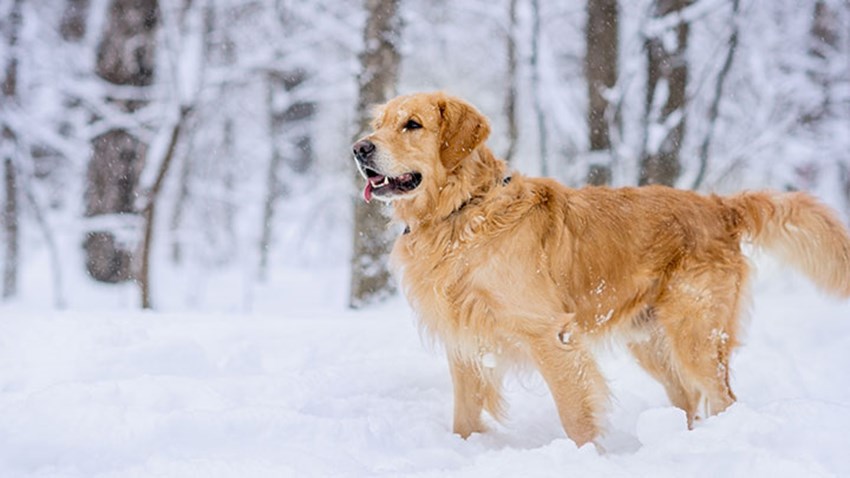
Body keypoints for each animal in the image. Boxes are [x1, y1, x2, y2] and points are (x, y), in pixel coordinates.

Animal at [350, 90, 848, 448]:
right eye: (378, 124)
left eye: (412, 124)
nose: (358, 148)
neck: (463, 212)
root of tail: (718, 205)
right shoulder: (465, 339)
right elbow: (465, 418)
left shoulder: (550, 333)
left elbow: (575, 414)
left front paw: (590, 457)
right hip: (652, 341)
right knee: (688, 400)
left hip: (696, 333)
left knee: (723, 398)